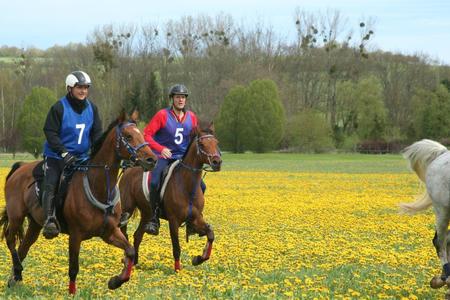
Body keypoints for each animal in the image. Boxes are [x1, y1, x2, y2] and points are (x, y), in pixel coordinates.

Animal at [0, 109, 157, 292]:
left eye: (141, 134)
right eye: (128, 136)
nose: (151, 160)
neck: (99, 187)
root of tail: (20, 167)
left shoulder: (109, 232)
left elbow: (130, 251)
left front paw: (115, 281)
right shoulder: (75, 235)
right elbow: (73, 268)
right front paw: (72, 293)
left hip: (35, 224)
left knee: (23, 248)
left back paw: (15, 277)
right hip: (16, 216)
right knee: (10, 239)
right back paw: (17, 271)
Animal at [119, 120, 221, 270]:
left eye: (216, 142)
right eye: (202, 144)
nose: (217, 162)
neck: (187, 186)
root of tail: (129, 169)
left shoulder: (196, 218)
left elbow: (210, 234)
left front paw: (198, 259)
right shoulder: (173, 221)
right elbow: (176, 248)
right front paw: (178, 270)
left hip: (147, 213)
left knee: (137, 235)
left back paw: (135, 262)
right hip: (127, 209)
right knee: (124, 232)